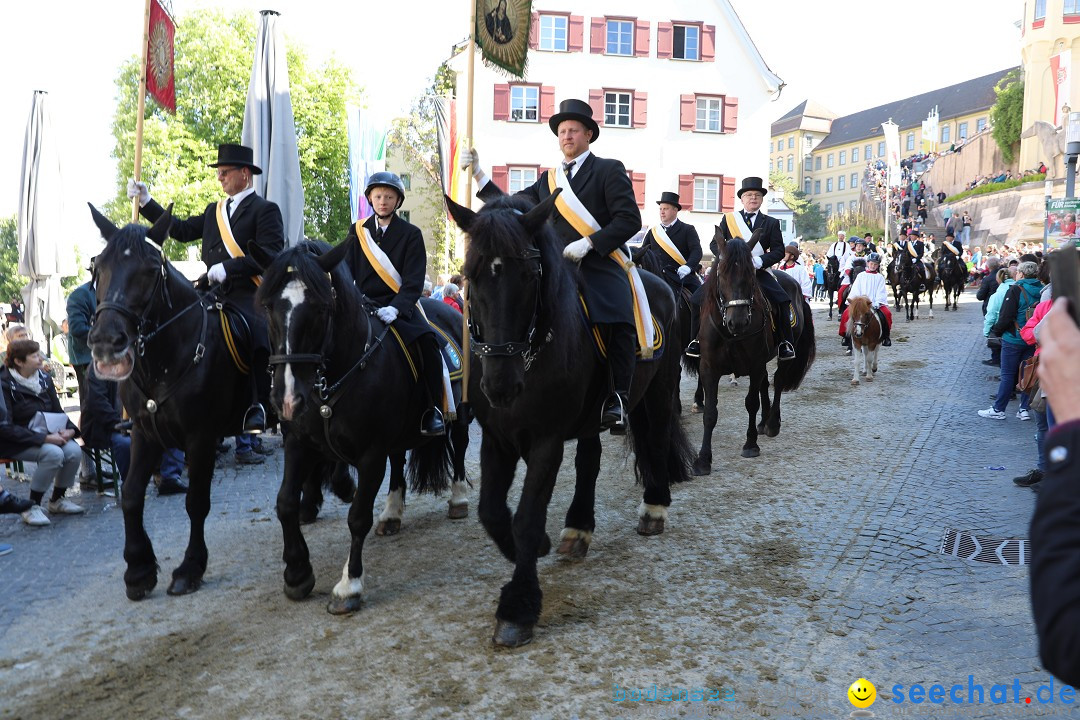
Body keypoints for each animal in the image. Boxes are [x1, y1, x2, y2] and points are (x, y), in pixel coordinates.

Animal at [86, 204, 343, 604]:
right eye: (98, 268)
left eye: (150, 270)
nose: (105, 343)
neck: (167, 358)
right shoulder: (144, 432)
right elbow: (130, 495)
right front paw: (139, 569)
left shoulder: (200, 437)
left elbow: (196, 502)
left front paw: (190, 568)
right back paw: (311, 502)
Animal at [252, 241, 473, 613]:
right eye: (268, 306)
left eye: (320, 308)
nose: (286, 399)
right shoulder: (299, 442)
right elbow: (285, 503)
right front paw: (297, 572)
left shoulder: (371, 454)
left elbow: (357, 517)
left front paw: (349, 586)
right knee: (399, 461)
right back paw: (392, 513)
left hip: (464, 411)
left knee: (459, 447)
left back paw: (458, 498)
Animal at [444, 189, 691, 647]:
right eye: (471, 275)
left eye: (529, 275)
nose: (500, 386)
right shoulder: (498, 438)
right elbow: (492, 512)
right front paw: (534, 547)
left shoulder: (546, 440)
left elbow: (526, 517)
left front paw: (517, 608)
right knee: (590, 462)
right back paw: (578, 528)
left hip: (659, 390)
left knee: (656, 438)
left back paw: (654, 508)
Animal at [686, 227, 812, 470]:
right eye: (721, 274)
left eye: (751, 276)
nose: (738, 322)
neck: (729, 334)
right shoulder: (709, 368)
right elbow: (710, 411)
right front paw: (704, 459)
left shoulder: (754, 365)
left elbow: (751, 403)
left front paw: (750, 445)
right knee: (765, 384)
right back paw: (764, 422)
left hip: (781, 355)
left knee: (777, 381)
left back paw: (772, 423)